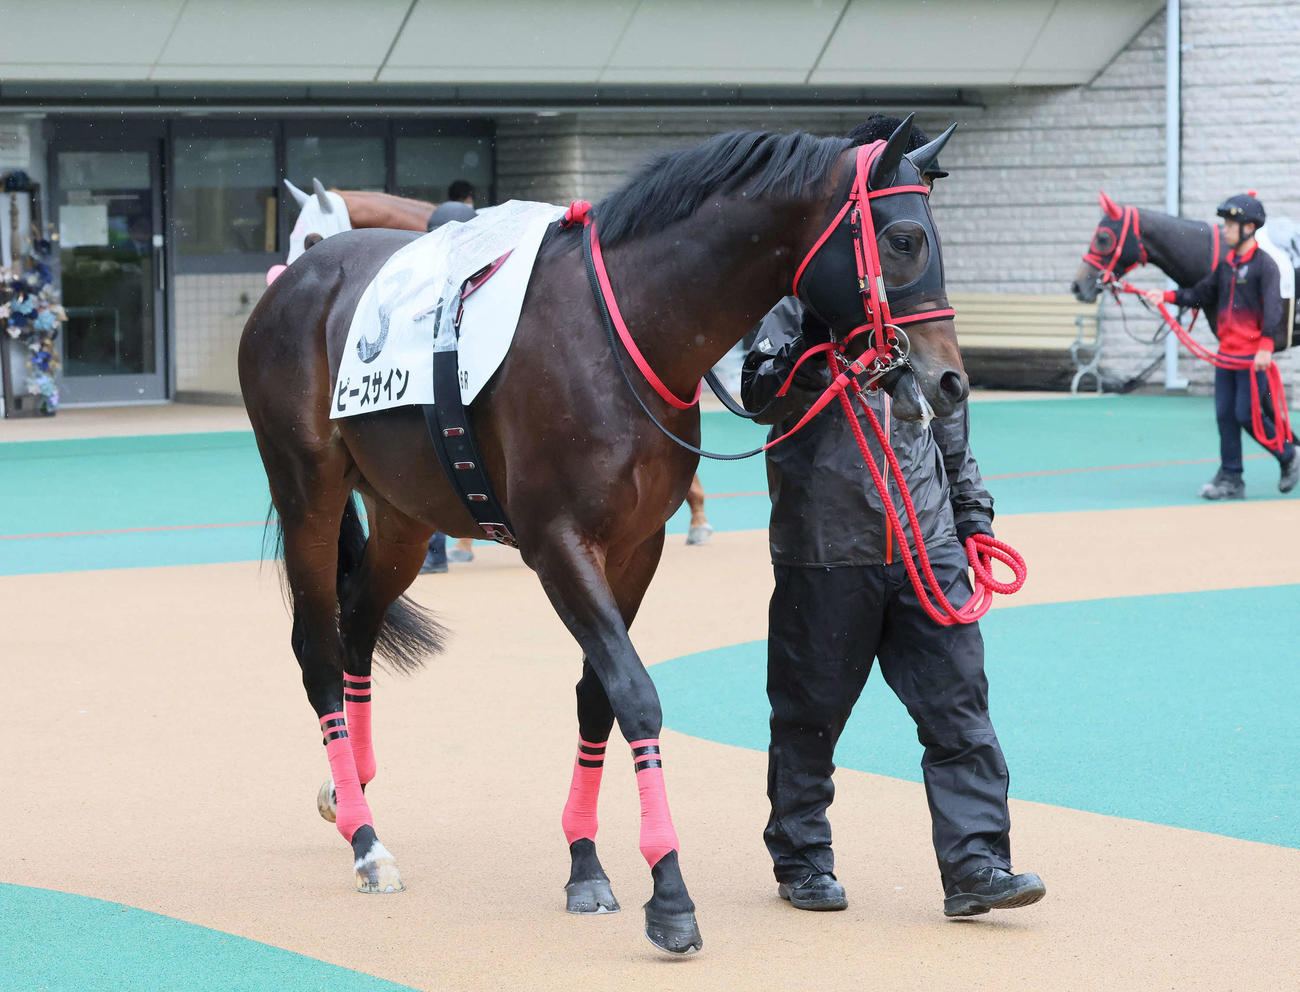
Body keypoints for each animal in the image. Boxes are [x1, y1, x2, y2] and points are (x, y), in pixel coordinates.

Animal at [237, 117, 965, 954]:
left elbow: (597, 697)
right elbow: (635, 694)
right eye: (905, 238)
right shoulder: (558, 544)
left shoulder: (636, 548)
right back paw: (365, 840)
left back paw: (349, 785)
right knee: (319, 649)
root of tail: (294, 284)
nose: (950, 380)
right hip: (308, 492)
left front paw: (585, 864)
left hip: (403, 513)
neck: (624, 336)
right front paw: (669, 890)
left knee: (357, 623)